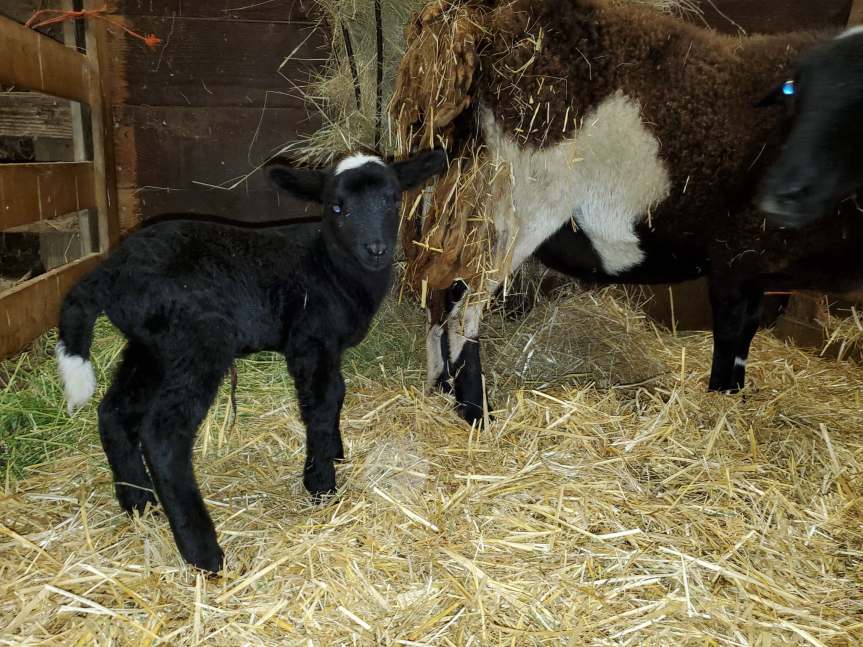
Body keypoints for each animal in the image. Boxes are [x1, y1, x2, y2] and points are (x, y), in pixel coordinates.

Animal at [55, 150, 446, 572]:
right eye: (337, 207)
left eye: (393, 199)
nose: (375, 249)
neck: (330, 267)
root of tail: (111, 270)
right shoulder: (310, 340)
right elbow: (322, 404)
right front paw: (320, 483)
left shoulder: (329, 348)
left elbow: (337, 395)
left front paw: (336, 450)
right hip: (200, 339)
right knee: (162, 434)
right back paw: (204, 553)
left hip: (152, 345)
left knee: (114, 411)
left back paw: (138, 502)